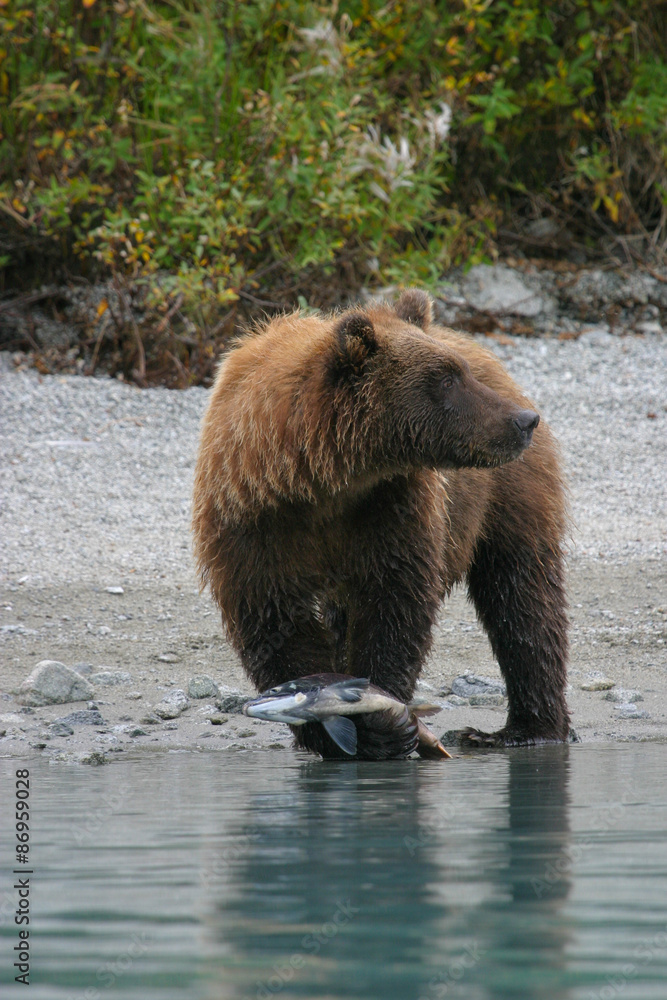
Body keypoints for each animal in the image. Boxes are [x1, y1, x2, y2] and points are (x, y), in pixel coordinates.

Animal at [192, 289, 569, 758]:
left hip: (507, 495)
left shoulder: (391, 507)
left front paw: (383, 718)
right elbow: (272, 617)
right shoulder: (253, 520)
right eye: (446, 378)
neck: (326, 478)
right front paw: (343, 730)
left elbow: (394, 602)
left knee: (522, 595)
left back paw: (522, 729)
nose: (523, 420)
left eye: (458, 372)